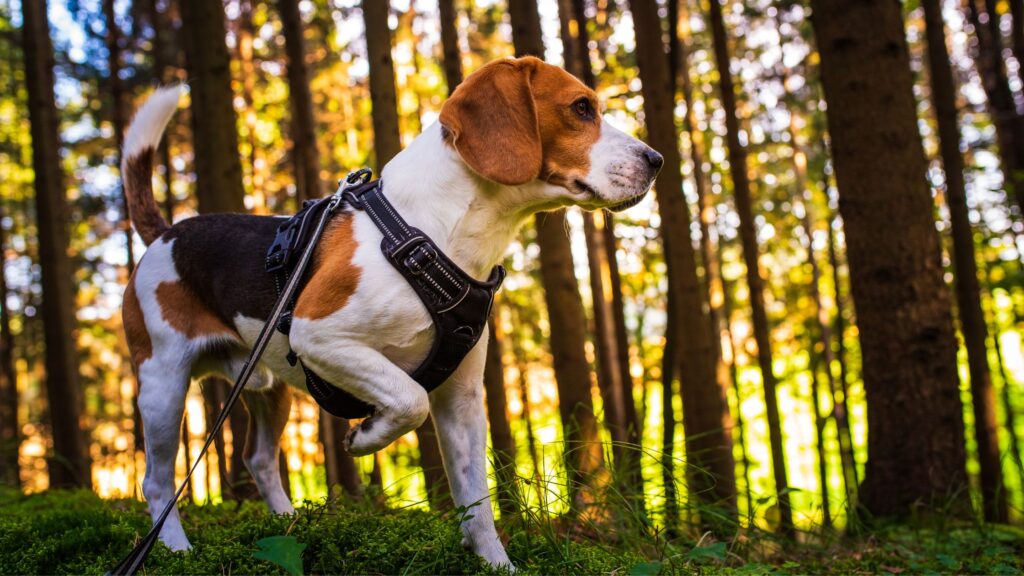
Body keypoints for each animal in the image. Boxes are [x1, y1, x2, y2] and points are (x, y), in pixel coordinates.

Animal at [119, 56, 663, 565]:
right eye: (581, 108)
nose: (657, 159)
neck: (436, 234)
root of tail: (165, 234)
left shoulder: (462, 398)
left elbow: (477, 502)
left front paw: (495, 563)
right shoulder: (319, 336)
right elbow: (408, 398)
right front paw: (366, 438)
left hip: (268, 388)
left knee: (259, 460)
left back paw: (289, 525)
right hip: (163, 385)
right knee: (156, 482)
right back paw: (176, 549)